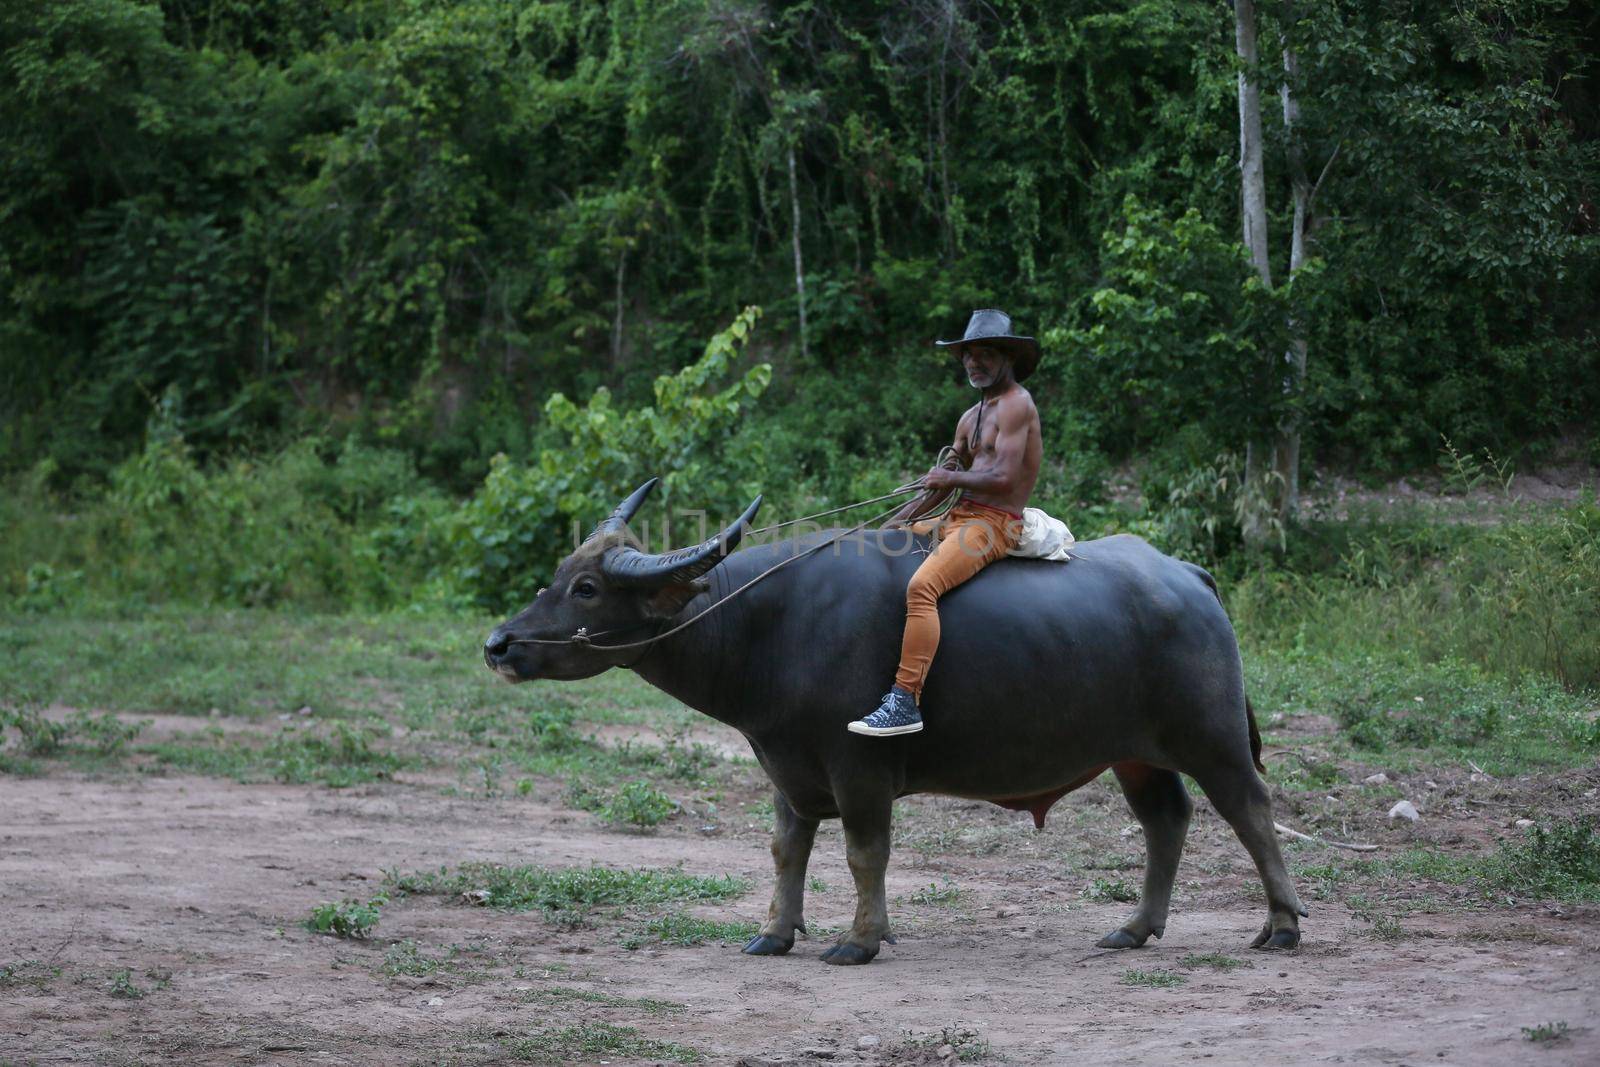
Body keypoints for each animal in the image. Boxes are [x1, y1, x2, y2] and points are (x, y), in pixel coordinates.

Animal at [480, 479, 1305, 966]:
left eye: (588, 588)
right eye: (558, 575)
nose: (499, 643)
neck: (765, 625)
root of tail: (1188, 575)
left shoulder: (860, 770)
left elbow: (864, 853)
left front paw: (860, 939)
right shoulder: (786, 765)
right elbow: (787, 850)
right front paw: (775, 932)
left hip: (1213, 739)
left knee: (1251, 810)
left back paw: (1284, 925)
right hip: (1134, 752)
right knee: (1166, 818)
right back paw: (1134, 927)